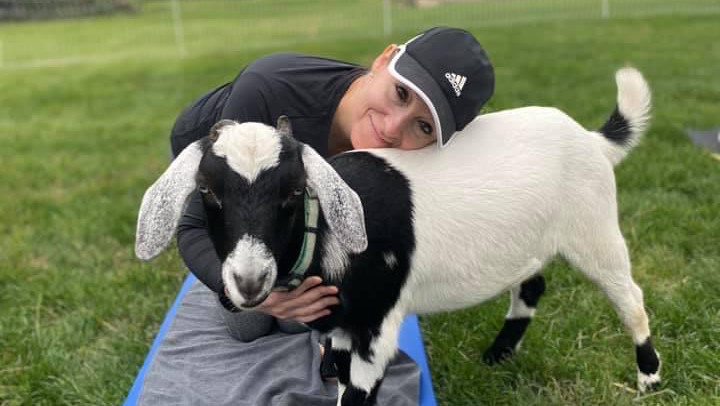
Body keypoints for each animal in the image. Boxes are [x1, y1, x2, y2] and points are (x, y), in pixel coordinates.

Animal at [135, 67, 661, 406]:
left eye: (294, 190)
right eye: (206, 190)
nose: (248, 281)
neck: (324, 235)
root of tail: (592, 140)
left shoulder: (375, 330)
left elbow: (359, 395)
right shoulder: (342, 328)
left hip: (595, 229)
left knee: (630, 297)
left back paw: (649, 379)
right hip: (528, 242)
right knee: (532, 284)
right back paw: (499, 352)